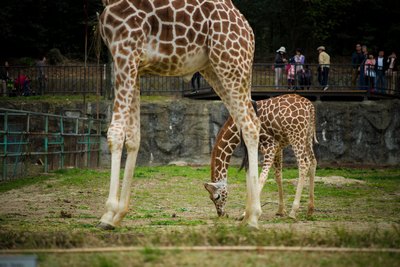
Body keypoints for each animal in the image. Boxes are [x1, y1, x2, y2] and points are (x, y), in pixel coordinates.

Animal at [96, 0, 260, 230]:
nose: (221, 214)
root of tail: (248, 30)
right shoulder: (135, 65)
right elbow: (134, 138)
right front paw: (119, 213)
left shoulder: (124, 49)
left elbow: (116, 133)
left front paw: (108, 214)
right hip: (215, 68)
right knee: (248, 123)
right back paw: (247, 216)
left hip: (231, 64)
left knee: (251, 126)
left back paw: (253, 217)